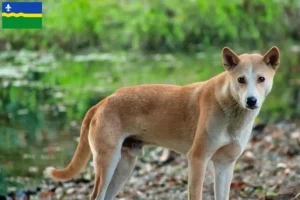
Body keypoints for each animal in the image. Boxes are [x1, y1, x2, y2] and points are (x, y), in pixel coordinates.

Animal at [44, 46, 278, 199]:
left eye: (261, 79)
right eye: (241, 80)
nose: (251, 101)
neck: (230, 108)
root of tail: (102, 102)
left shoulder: (225, 165)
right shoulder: (198, 159)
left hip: (124, 166)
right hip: (108, 162)